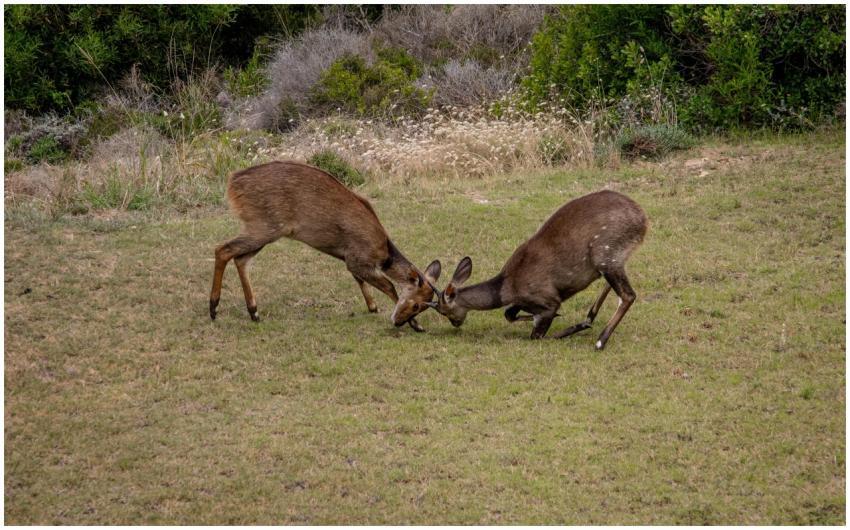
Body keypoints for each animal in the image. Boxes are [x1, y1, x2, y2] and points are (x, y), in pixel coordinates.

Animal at [209, 161, 440, 330]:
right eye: (417, 304)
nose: (400, 321)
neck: (384, 252)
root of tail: (233, 183)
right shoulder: (358, 259)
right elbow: (389, 286)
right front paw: (412, 324)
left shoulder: (348, 256)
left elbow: (359, 280)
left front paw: (373, 307)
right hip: (264, 227)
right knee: (223, 249)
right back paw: (213, 308)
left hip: (263, 229)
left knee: (240, 258)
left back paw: (254, 312)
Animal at [427, 190, 648, 350]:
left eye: (443, 310)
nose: (456, 324)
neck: (507, 287)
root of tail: (643, 221)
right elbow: (509, 313)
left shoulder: (548, 300)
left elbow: (536, 335)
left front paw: (565, 326)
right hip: (613, 259)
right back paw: (589, 319)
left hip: (606, 253)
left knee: (628, 295)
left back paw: (600, 341)